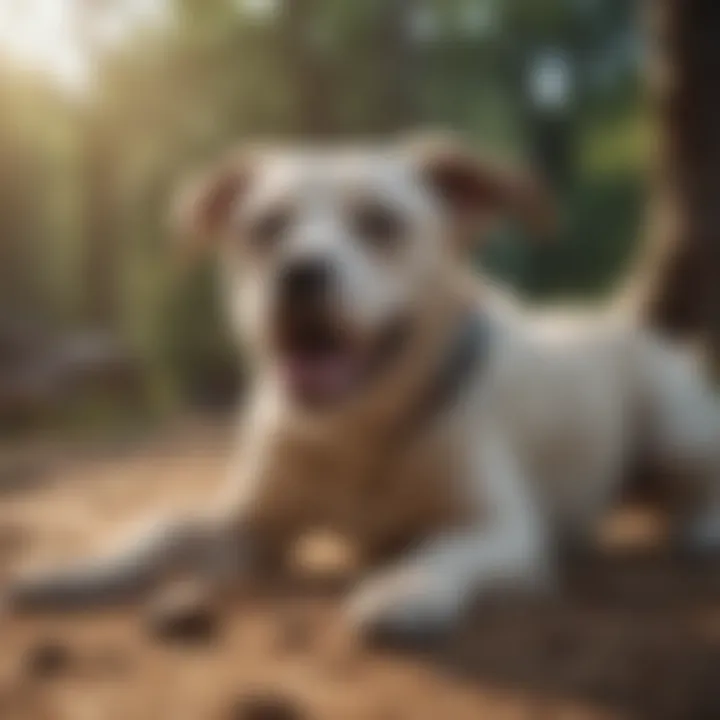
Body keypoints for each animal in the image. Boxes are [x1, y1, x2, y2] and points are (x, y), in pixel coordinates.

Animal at [5, 132, 720, 640]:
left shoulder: (500, 528)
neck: (356, 431)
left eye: (382, 223)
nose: (299, 273)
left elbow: (441, 549)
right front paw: (75, 571)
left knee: (696, 483)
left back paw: (701, 531)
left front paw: (405, 591)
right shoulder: (253, 524)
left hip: (674, 427)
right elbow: (156, 529)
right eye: (264, 226)